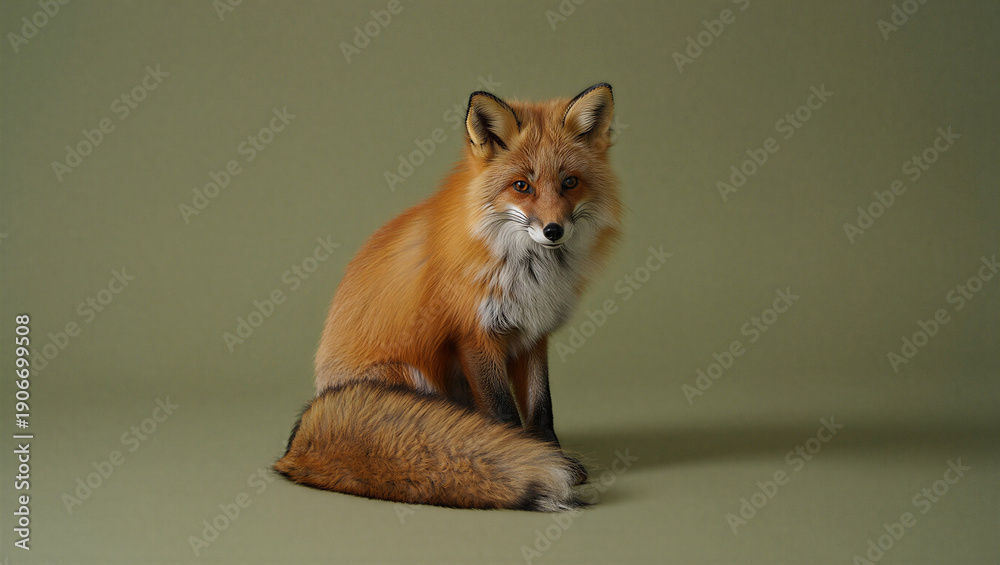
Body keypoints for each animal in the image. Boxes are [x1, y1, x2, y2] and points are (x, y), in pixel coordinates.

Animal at [273, 83, 622, 511]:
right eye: (522, 186)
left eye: (570, 182)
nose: (553, 231)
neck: (530, 273)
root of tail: (296, 447)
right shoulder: (475, 336)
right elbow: (503, 413)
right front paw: (518, 454)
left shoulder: (532, 336)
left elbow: (541, 410)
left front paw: (550, 454)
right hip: (410, 377)